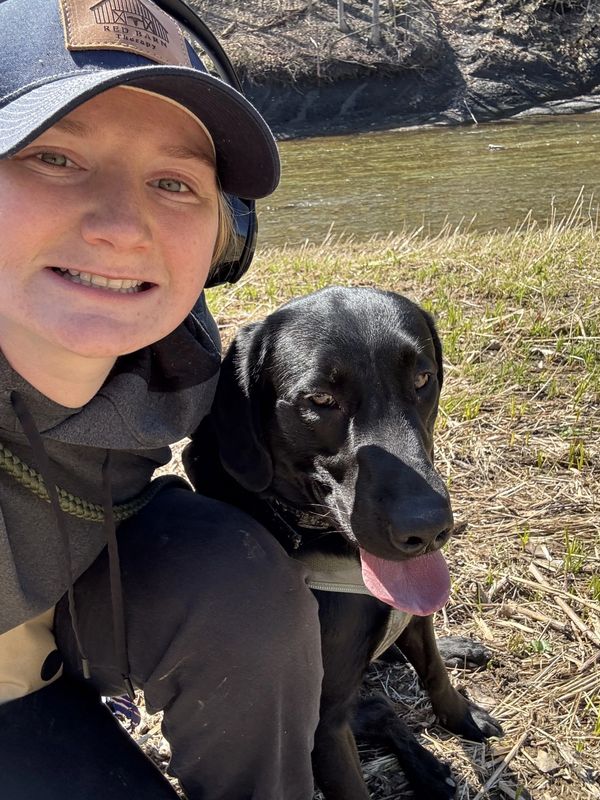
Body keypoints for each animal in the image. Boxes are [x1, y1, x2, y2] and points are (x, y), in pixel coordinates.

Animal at [183, 286, 503, 799]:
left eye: (423, 379)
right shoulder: (323, 727)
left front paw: (460, 713)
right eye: (320, 398)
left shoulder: (413, 618)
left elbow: (433, 667)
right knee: (379, 711)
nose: (428, 528)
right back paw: (427, 770)